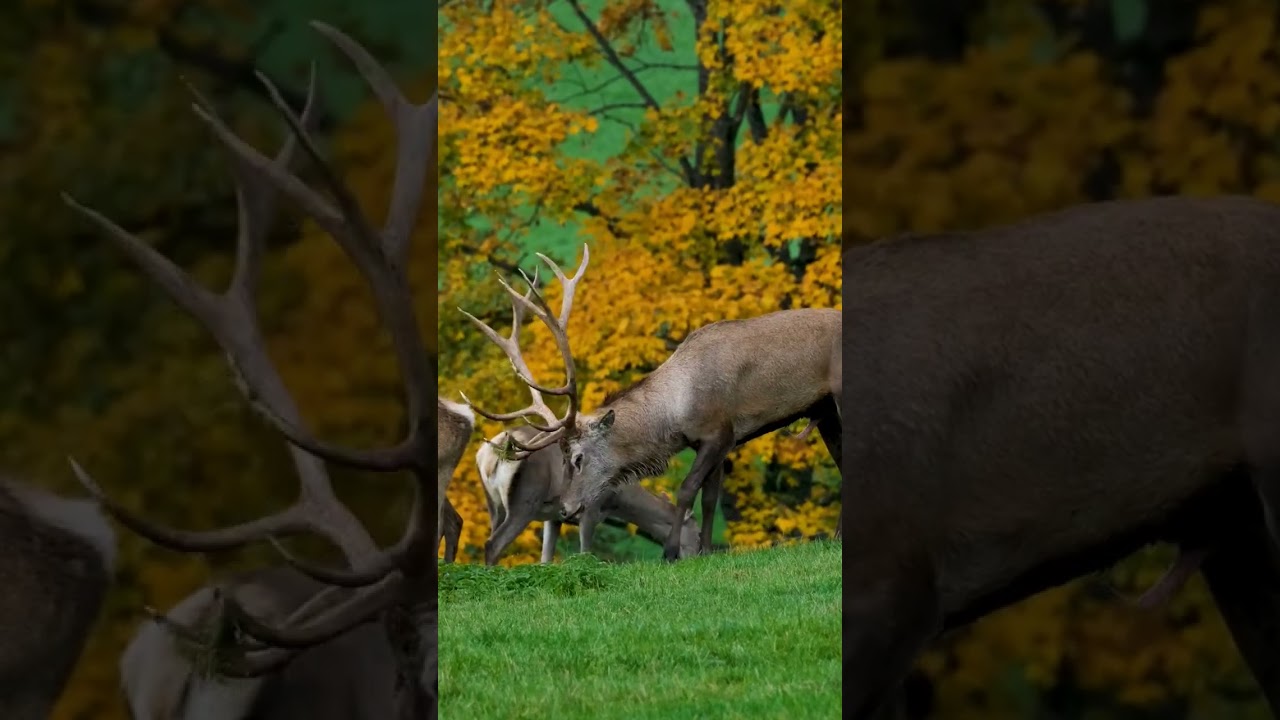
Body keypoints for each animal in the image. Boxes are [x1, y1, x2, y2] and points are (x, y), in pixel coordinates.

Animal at [476, 424, 702, 564]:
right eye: (699, 533)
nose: (698, 557)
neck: (616, 501)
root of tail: (488, 457)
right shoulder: (590, 508)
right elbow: (585, 554)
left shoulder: (554, 517)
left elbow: (545, 559)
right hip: (524, 500)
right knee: (493, 544)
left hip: (493, 504)